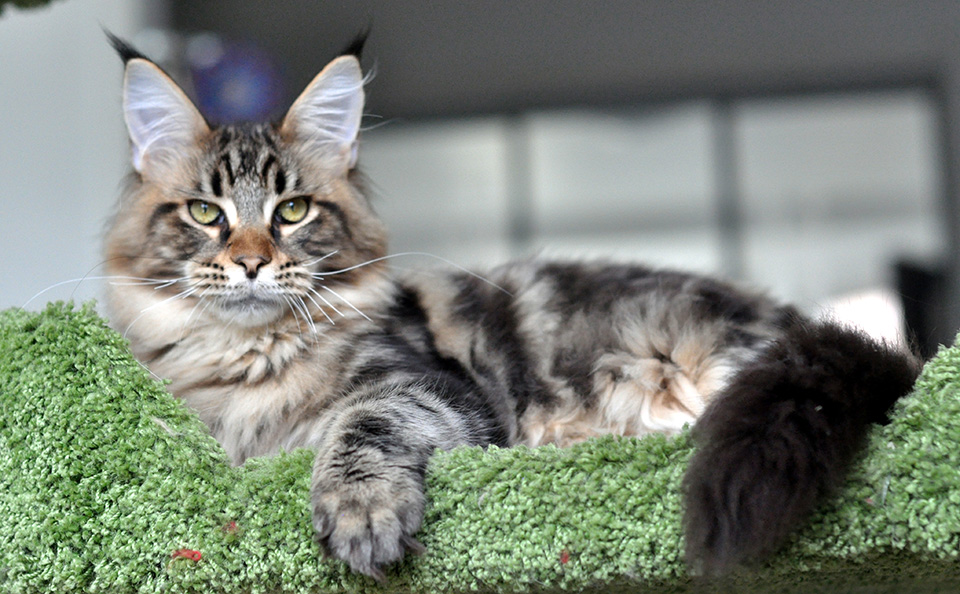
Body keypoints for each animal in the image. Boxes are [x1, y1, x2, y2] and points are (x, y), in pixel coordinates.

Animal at [101, 34, 920, 580]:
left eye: (293, 211)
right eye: (206, 213)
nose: (250, 262)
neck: (248, 359)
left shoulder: (429, 386)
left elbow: (359, 426)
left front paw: (361, 516)